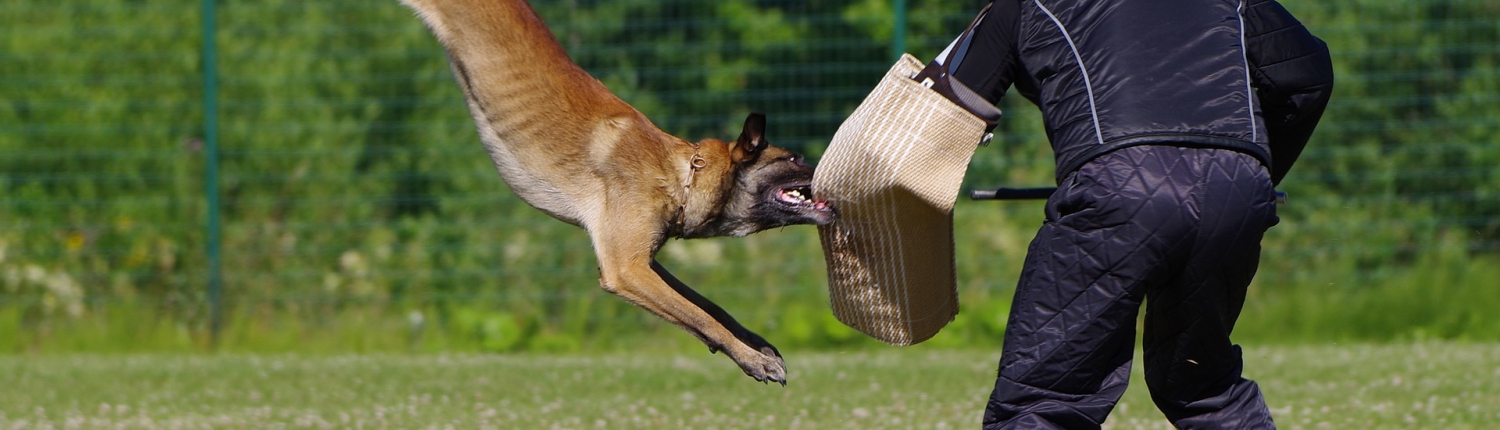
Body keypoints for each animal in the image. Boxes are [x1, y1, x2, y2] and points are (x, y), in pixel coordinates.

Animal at [399, 0, 840, 383]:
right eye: (797, 158)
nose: (835, 171)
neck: (681, 174)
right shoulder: (626, 269)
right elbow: (699, 316)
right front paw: (753, 360)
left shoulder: (641, 260)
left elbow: (708, 306)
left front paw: (756, 344)